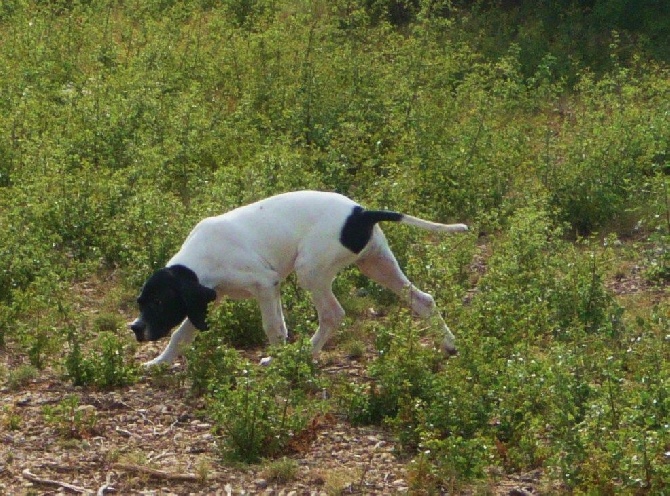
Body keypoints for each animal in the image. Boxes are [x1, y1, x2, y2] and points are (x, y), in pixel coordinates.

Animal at [130, 192, 468, 366]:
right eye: (141, 303)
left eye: (159, 303)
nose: (136, 329)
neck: (200, 259)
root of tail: (362, 212)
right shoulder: (209, 298)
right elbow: (180, 335)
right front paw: (160, 362)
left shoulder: (266, 285)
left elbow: (274, 329)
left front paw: (279, 364)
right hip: (376, 265)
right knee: (423, 300)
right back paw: (449, 344)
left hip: (311, 271)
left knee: (333, 314)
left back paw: (304, 354)